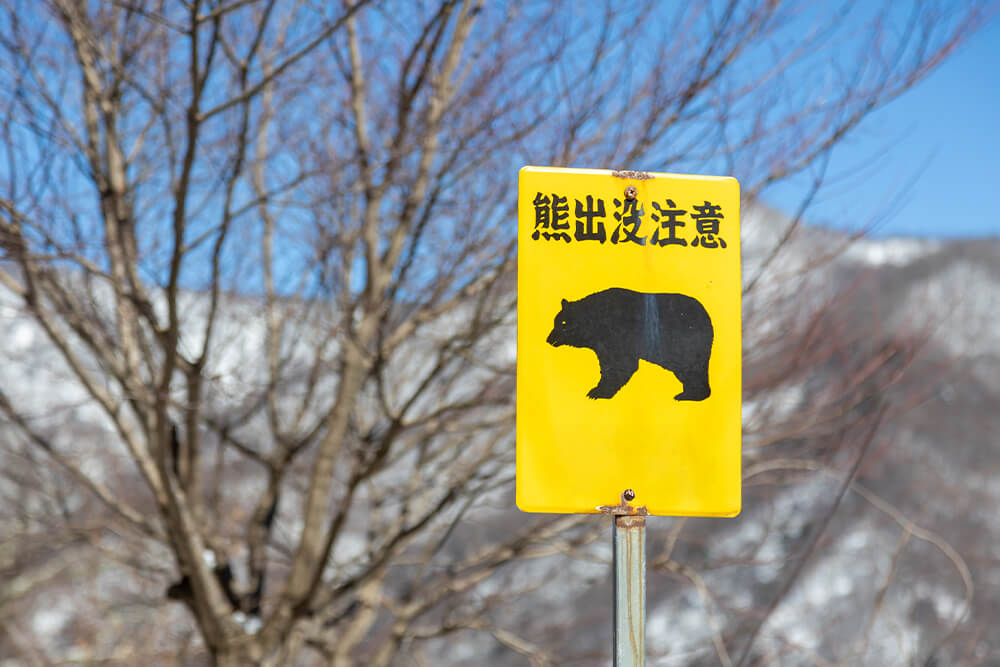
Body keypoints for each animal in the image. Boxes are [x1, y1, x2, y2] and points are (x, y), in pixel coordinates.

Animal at [546, 287, 713, 400]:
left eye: (563, 323)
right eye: (555, 322)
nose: (548, 339)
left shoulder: (617, 336)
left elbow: (621, 364)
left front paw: (598, 392)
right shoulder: (603, 344)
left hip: (685, 345)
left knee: (692, 370)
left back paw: (690, 395)